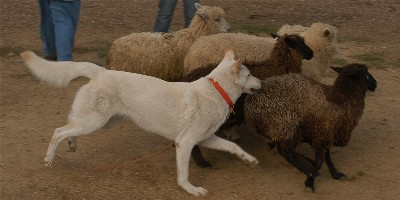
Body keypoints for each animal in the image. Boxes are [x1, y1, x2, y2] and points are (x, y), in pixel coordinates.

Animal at [20, 50, 260, 197]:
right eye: (249, 74)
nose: (263, 83)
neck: (216, 91)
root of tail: (101, 71)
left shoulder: (206, 138)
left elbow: (233, 146)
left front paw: (249, 159)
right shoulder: (185, 142)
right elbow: (183, 175)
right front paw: (191, 190)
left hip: (104, 122)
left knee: (70, 125)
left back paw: (72, 144)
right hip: (95, 122)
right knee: (58, 131)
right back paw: (49, 158)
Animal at [244, 63, 378, 191]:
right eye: (365, 73)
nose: (375, 84)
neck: (343, 99)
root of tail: (249, 105)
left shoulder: (325, 134)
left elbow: (327, 157)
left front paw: (335, 173)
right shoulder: (323, 133)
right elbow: (320, 161)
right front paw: (310, 182)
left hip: (283, 129)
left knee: (286, 150)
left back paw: (308, 163)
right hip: (287, 125)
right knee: (286, 152)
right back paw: (309, 170)